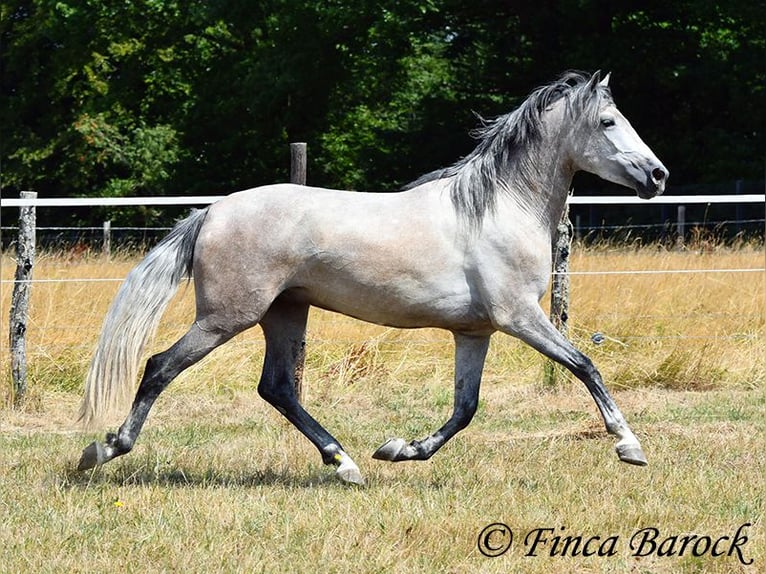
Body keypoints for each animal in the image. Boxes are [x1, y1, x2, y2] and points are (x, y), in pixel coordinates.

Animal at [78, 71, 667, 485]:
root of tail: (212, 212)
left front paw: (400, 450)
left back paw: (345, 463)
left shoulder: (474, 331)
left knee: (277, 388)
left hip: (285, 312)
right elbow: (586, 366)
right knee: (160, 366)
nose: (658, 176)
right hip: (228, 317)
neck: (500, 206)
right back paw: (103, 449)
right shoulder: (519, 316)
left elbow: (465, 408)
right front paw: (629, 446)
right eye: (608, 122)